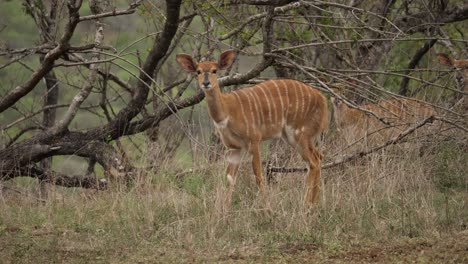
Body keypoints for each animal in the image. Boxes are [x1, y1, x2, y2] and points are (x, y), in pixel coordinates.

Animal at [176, 50, 330, 209]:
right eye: (198, 71)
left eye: (214, 70)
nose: (206, 83)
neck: (227, 111)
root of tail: (323, 100)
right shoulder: (234, 148)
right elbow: (230, 178)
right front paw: (224, 211)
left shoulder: (254, 140)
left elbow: (258, 175)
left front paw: (267, 208)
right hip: (293, 137)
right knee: (318, 158)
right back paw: (314, 204)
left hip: (299, 133)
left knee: (313, 162)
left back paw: (306, 205)